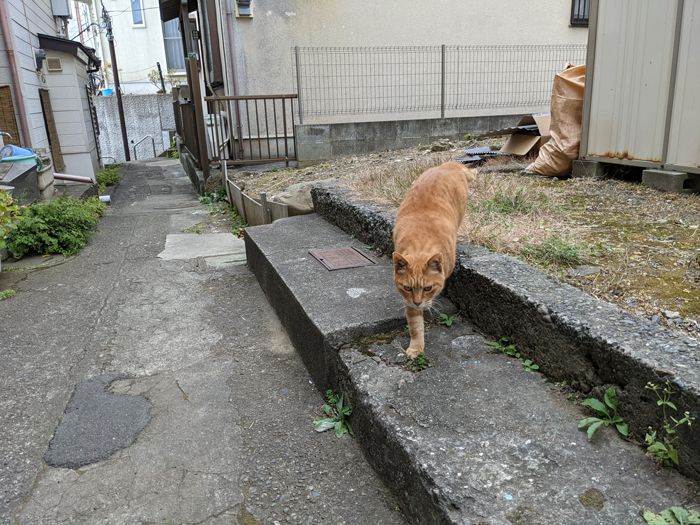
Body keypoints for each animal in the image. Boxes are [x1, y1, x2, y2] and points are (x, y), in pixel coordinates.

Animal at [394, 161, 476, 356]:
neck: (420, 242)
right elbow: (415, 326)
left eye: (428, 288)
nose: (418, 302)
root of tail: (448, 164)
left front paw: (428, 304)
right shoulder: (408, 302)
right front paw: (416, 347)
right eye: (407, 288)